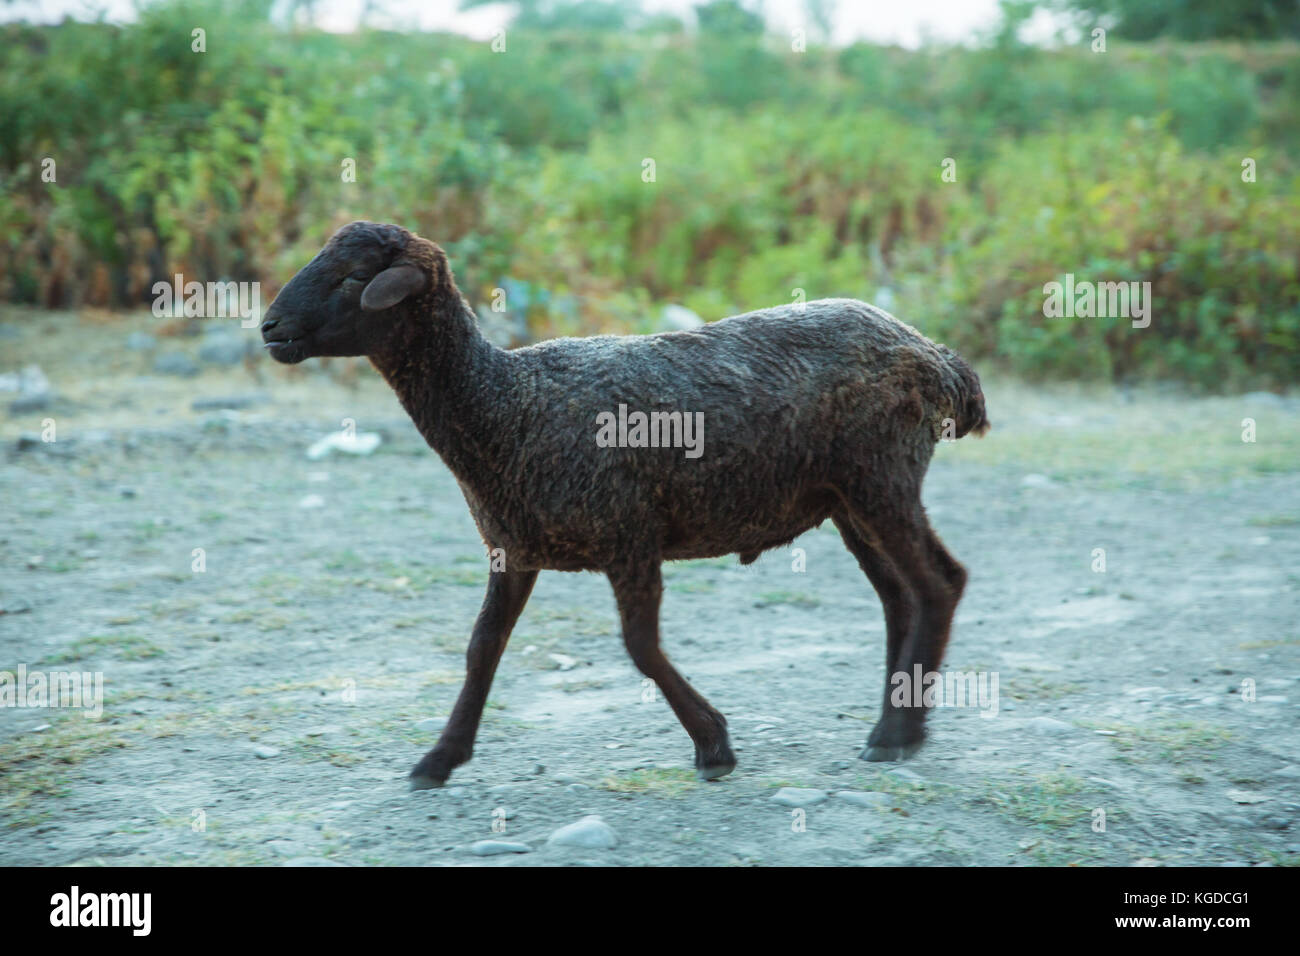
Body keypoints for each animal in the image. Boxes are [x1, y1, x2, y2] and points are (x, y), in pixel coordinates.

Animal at [261, 220, 990, 790]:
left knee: (939, 583)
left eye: (354, 276)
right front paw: (439, 758)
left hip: (881, 479)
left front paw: (714, 745)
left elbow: (640, 647)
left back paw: (896, 734)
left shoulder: (630, 537)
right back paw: (896, 718)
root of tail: (938, 358)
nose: (269, 326)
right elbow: (482, 648)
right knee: (899, 598)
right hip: (848, 501)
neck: (506, 405)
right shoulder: (513, 551)